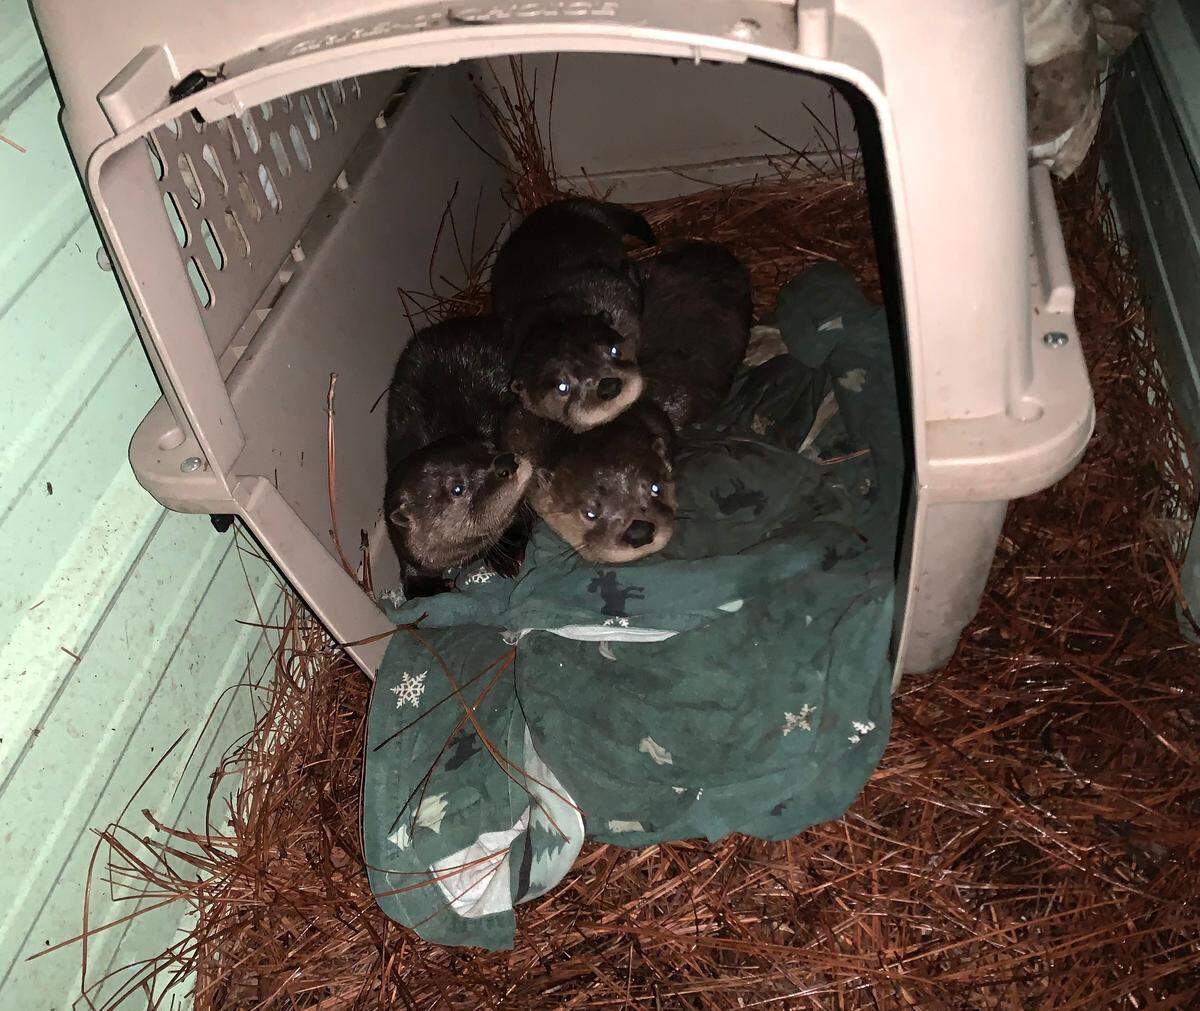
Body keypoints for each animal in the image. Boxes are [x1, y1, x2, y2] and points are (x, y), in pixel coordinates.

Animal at [384, 317, 533, 598]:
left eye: (490, 447)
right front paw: (433, 587)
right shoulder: (404, 545)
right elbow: (411, 580)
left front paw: (505, 556)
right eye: (457, 488)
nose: (507, 462)